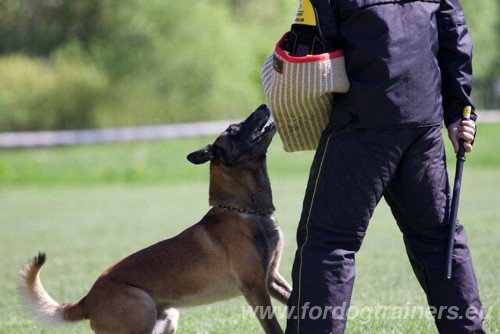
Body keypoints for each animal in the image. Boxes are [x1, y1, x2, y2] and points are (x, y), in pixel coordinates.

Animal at [19, 105, 292, 334]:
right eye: (235, 128)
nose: (264, 105)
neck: (243, 210)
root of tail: (88, 299)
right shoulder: (255, 288)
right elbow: (274, 326)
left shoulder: (271, 279)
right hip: (142, 310)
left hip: (167, 318)